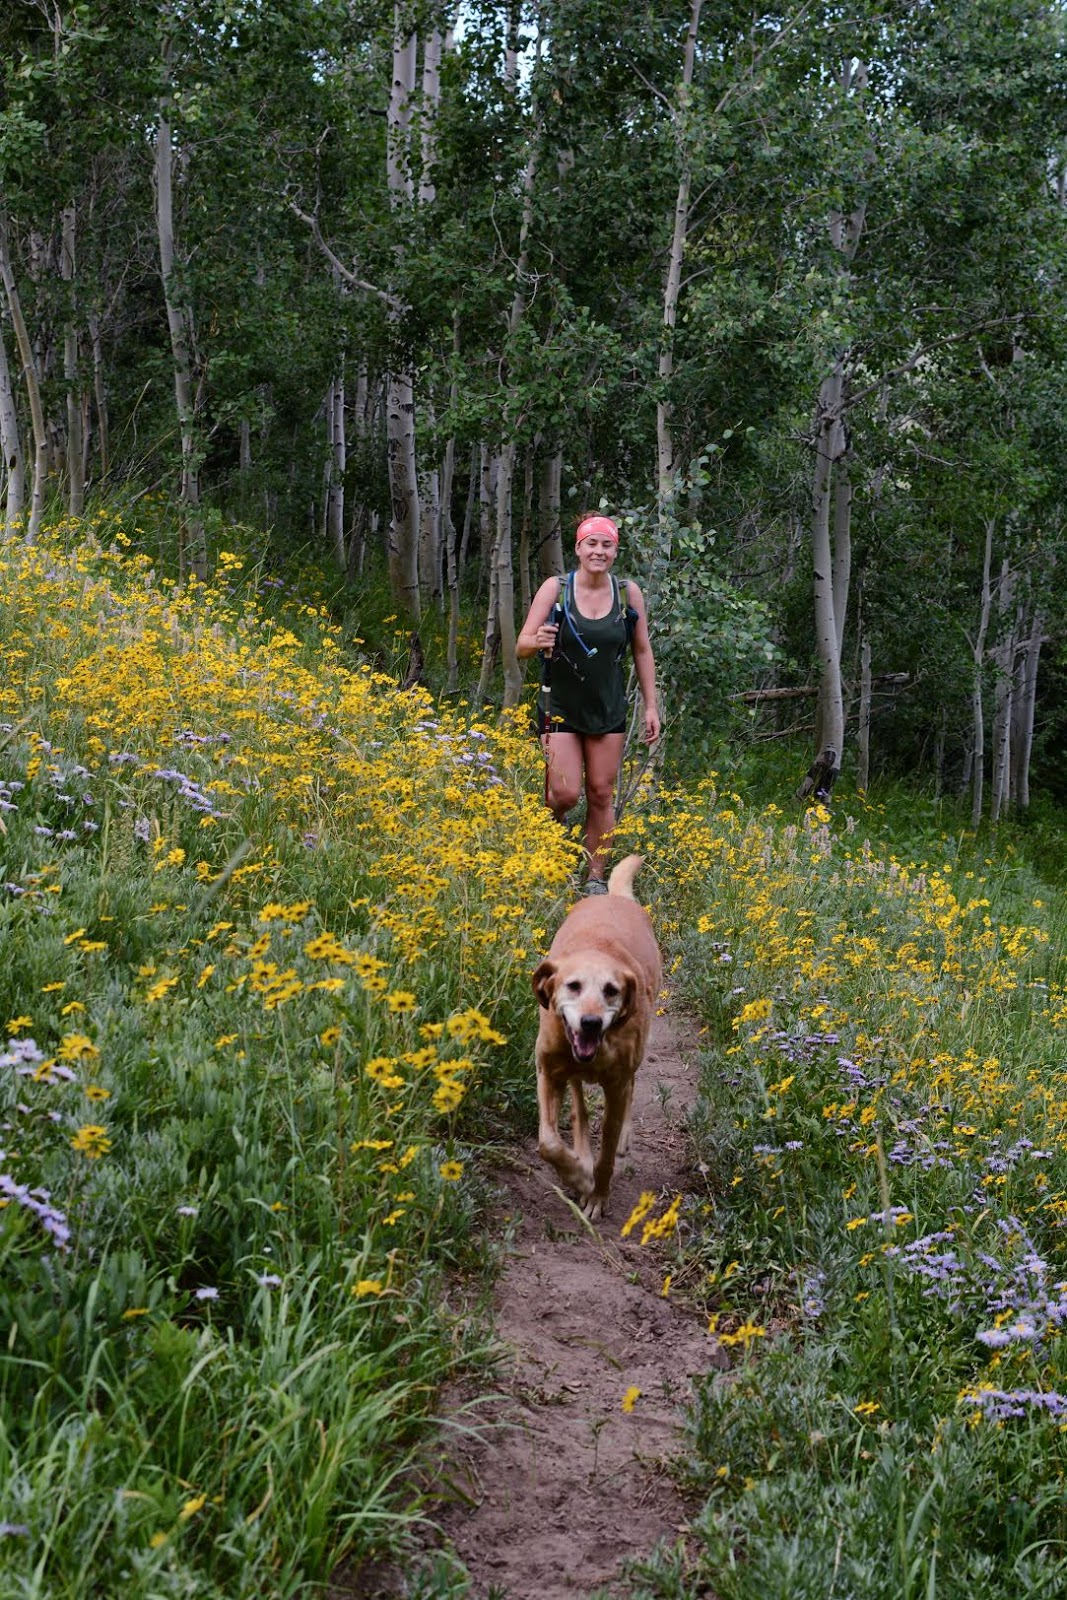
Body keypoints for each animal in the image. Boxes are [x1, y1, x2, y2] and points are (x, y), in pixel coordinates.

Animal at [531, 857, 662, 1216]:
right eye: (573, 986)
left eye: (611, 991)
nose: (590, 1023)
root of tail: (613, 897)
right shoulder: (547, 1073)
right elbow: (549, 1143)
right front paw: (578, 1175)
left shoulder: (616, 1087)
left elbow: (607, 1152)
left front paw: (597, 1194)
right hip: (567, 1072)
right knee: (579, 1106)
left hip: (633, 1062)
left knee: (630, 1089)